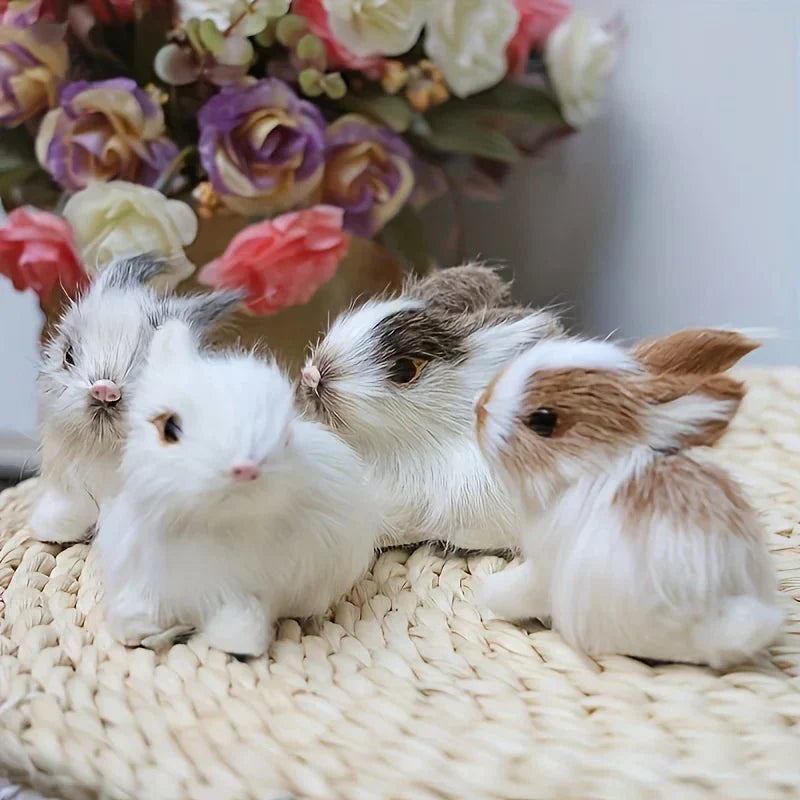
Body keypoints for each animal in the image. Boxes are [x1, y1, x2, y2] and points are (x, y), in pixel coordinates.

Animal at [95, 320, 378, 657]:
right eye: (169, 428)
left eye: (286, 436)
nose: (245, 469)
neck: (216, 526)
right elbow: (128, 621)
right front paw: (151, 633)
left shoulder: (247, 595)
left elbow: (240, 630)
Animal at [473, 331, 782, 668]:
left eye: (542, 421)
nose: (480, 409)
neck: (588, 468)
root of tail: (721, 617)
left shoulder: (544, 567)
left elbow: (515, 591)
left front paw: (487, 598)